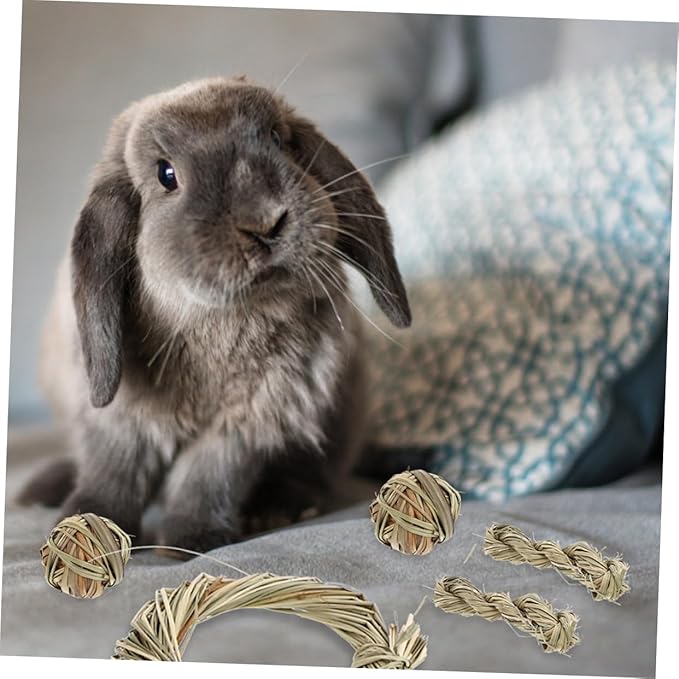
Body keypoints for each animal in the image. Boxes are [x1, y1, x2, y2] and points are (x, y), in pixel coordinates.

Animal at [17, 76, 411, 553]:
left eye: (278, 139)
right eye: (166, 174)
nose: (265, 222)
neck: (219, 323)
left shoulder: (246, 423)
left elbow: (208, 477)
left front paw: (192, 540)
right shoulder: (118, 419)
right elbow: (113, 472)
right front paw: (84, 531)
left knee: (313, 473)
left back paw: (280, 508)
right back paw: (41, 490)